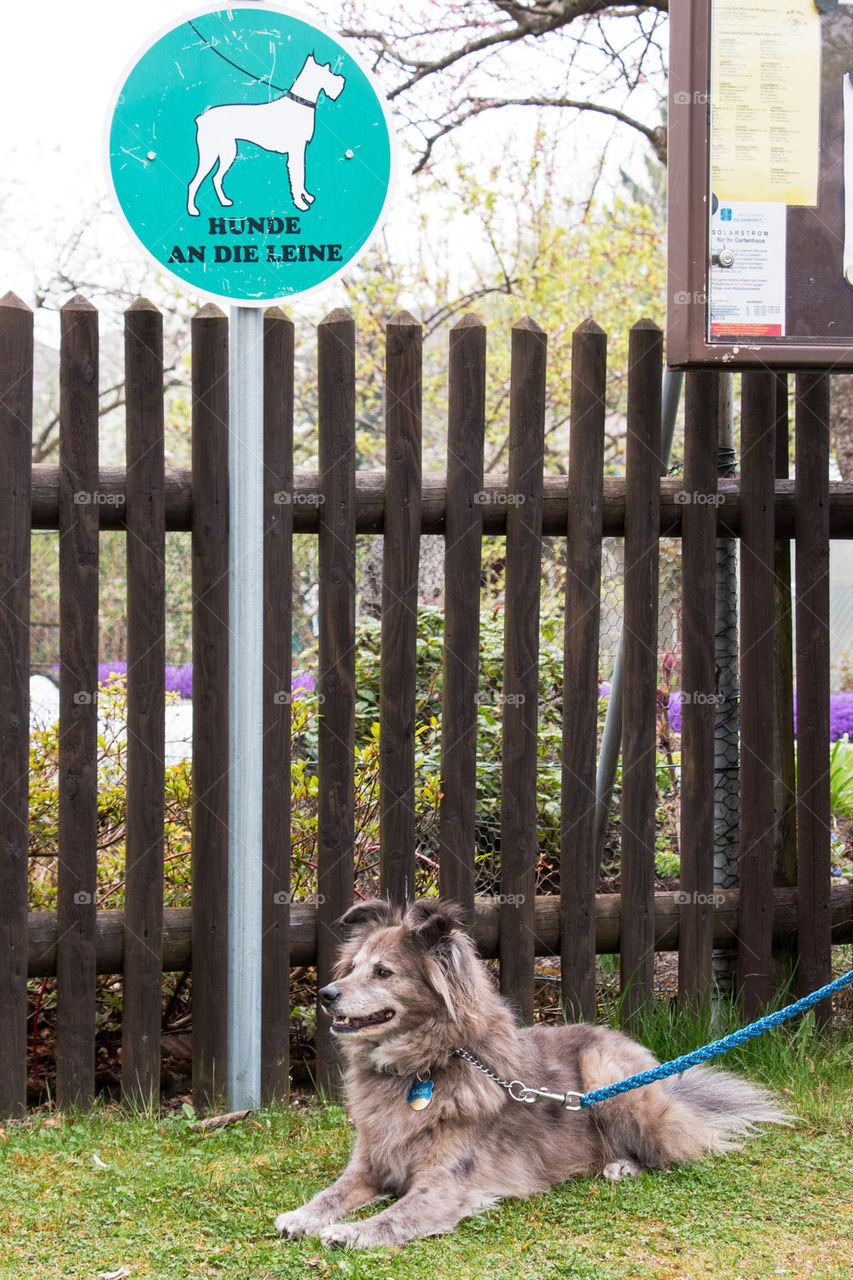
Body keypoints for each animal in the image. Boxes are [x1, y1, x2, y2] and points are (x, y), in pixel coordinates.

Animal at [274, 901, 783, 1249]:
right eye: (355, 966)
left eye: (383, 972)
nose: (325, 994)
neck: (420, 1067)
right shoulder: (370, 1164)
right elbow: (332, 1192)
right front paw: (302, 1215)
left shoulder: (446, 1186)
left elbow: (396, 1215)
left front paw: (350, 1232)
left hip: (606, 1076)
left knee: (671, 1150)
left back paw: (622, 1164)